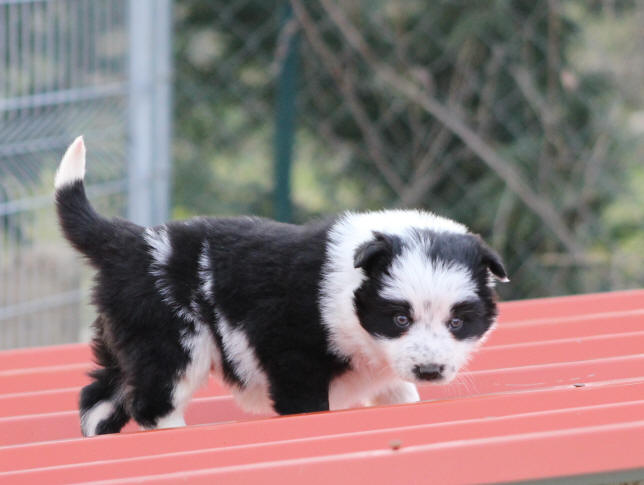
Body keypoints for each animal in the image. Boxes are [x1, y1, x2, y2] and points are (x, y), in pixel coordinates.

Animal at [55, 135, 508, 434]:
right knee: (152, 404)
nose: (429, 371)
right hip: (172, 344)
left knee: (98, 396)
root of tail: (131, 240)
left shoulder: (386, 371)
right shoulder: (293, 359)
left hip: (125, 341)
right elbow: (308, 407)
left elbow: (401, 394)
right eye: (400, 319)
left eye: (457, 322)